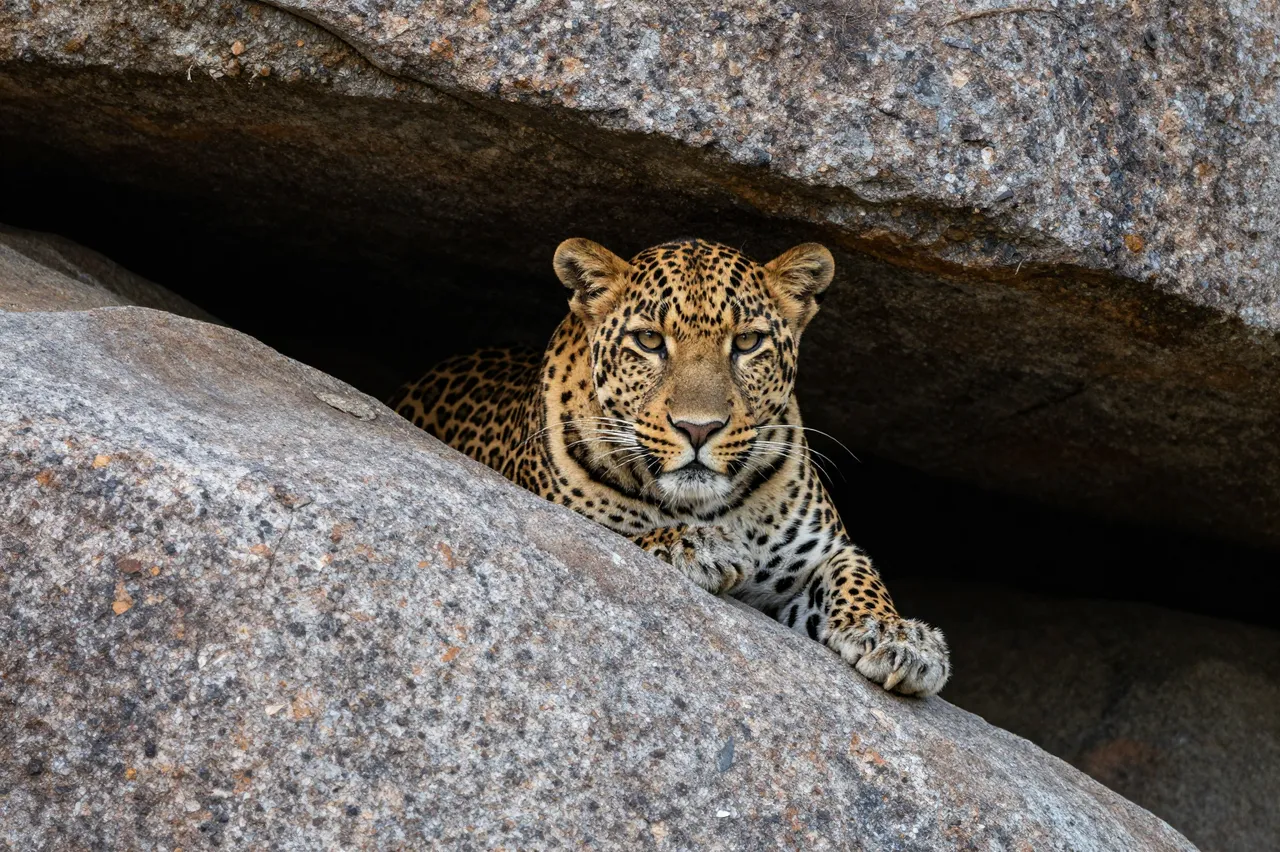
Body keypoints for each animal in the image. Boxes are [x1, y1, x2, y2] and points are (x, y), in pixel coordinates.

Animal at [389, 238, 950, 696]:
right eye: (650, 341)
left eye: (747, 343)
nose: (698, 429)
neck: (706, 506)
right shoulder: (566, 519)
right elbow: (625, 537)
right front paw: (695, 546)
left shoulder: (818, 555)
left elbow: (858, 572)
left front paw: (900, 637)